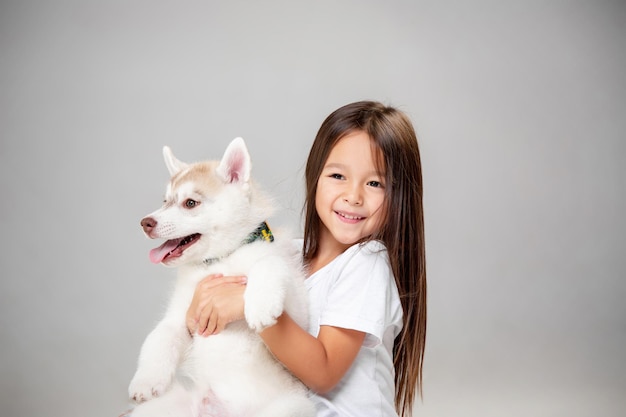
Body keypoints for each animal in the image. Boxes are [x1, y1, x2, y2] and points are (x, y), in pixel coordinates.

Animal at [126, 137, 312, 416]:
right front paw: (146, 380)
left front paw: (260, 305)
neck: (221, 260)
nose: (145, 223)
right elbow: (159, 337)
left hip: (291, 406)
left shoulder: (299, 314)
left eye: (190, 203)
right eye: (165, 201)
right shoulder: (182, 316)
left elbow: (269, 262)